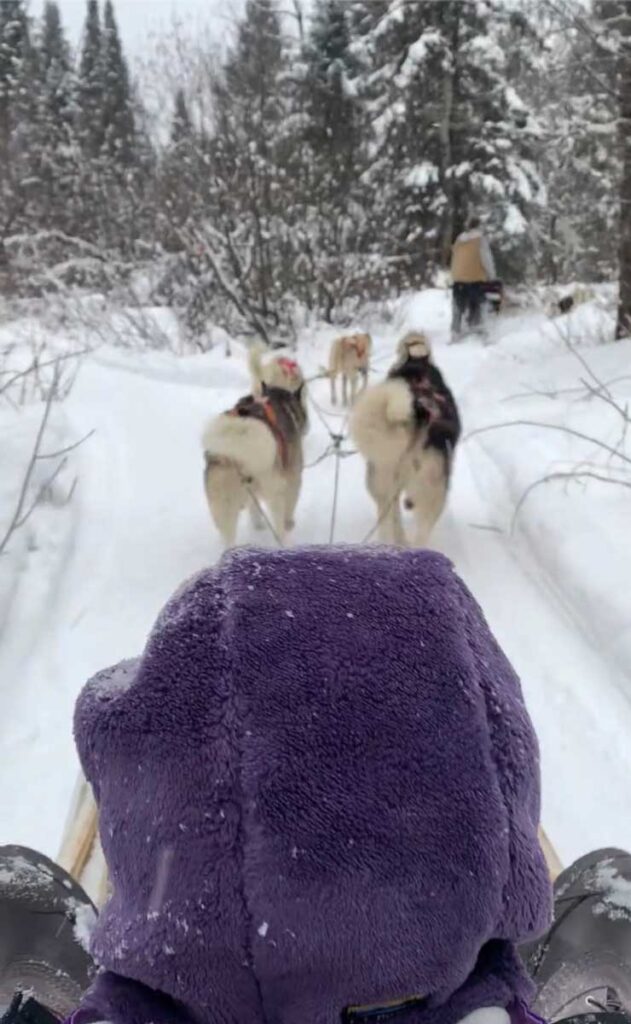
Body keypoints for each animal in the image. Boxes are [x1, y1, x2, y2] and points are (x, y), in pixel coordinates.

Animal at [201, 385, 305, 548]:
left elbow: (254, 509)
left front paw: (257, 526)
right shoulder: (294, 478)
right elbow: (290, 504)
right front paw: (289, 524)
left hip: (223, 504)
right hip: (275, 492)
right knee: (279, 527)